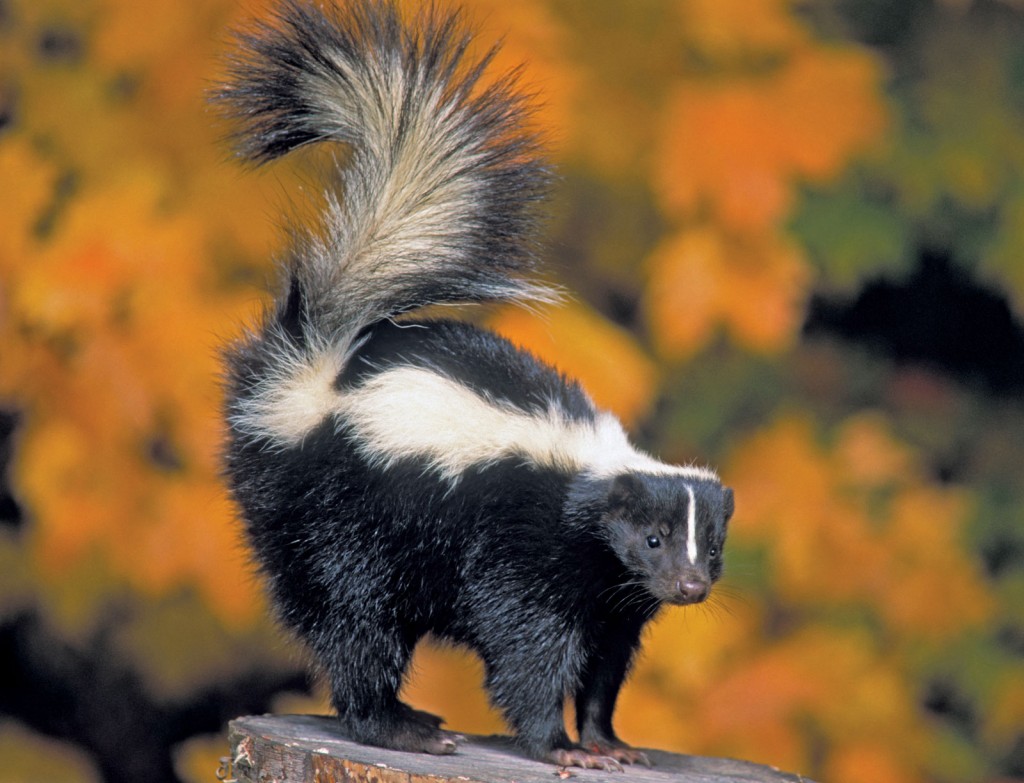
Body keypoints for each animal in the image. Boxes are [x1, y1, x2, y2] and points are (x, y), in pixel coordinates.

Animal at [218, 0, 729, 769]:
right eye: (653, 539)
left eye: (712, 546)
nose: (690, 586)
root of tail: (314, 375)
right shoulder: (526, 556)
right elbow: (529, 651)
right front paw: (560, 747)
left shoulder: (611, 599)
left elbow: (606, 667)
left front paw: (609, 741)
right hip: (340, 518)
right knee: (355, 619)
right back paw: (399, 724)